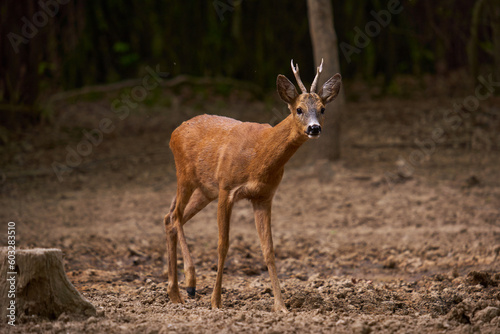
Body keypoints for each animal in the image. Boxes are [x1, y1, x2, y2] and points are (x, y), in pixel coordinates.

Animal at [162, 58, 342, 312]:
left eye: (323, 109)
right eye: (299, 109)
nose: (314, 128)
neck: (259, 156)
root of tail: (174, 132)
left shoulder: (263, 196)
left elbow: (269, 250)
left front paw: (281, 306)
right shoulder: (226, 188)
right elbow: (223, 244)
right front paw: (216, 302)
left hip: (205, 190)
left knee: (169, 217)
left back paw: (175, 294)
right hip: (186, 174)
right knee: (175, 215)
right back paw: (190, 283)